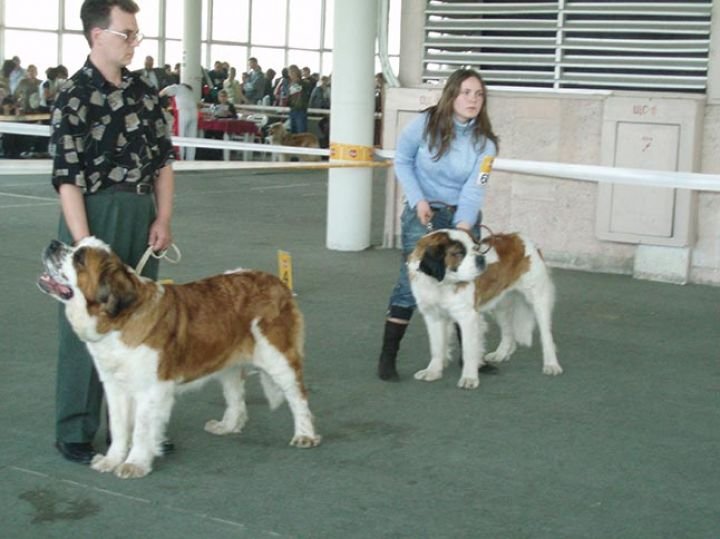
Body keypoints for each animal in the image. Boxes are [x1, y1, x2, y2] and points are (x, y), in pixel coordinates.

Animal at [38, 237, 320, 479]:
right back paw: (228, 425)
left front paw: (134, 463)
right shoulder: (114, 386)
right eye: (74, 245)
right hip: (227, 360)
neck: (118, 320)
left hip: (277, 357)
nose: (52, 244)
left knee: (298, 396)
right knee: (235, 396)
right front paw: (111, 459)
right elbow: (119, 426)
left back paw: (305, 435)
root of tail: (278, 282)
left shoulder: (151, 390)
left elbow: (142, 429)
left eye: (79, 259)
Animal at [407, 229, 563, 389]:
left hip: (538, 298)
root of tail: (520, 237)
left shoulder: (467, 317)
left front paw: (469, 378)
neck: (440, 284)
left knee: (546, 335)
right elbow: (436, 346)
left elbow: (469, 349)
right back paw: (501, 353)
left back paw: (551, 364)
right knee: (508, 331)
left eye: (476, 248)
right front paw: (432, 371)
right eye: (459, 253)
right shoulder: (433, 316)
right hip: (500, 305)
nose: (481, 259)